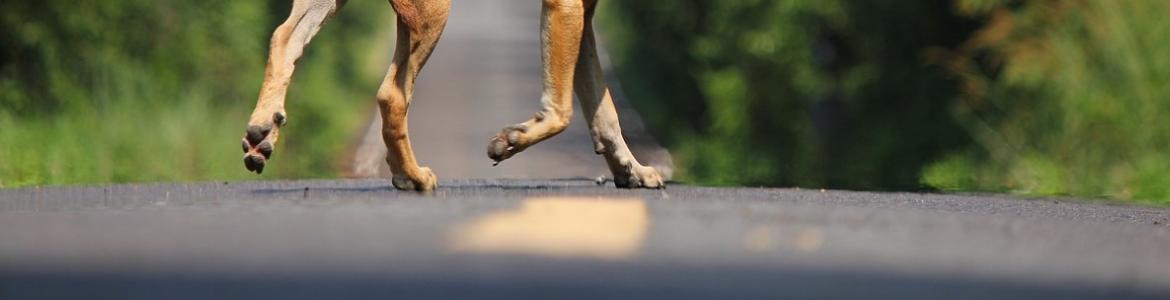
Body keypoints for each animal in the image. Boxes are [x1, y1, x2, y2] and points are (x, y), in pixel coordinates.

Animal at [239, 0, 659, 189]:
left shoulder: (583, 17)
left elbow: (604, 112)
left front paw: (632, 170)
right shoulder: (567, 6)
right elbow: (562, 111)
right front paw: (511, 140)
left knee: (283, 38)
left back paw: (262, 134)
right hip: (430, 14)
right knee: (392, 94)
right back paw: (413, 177)